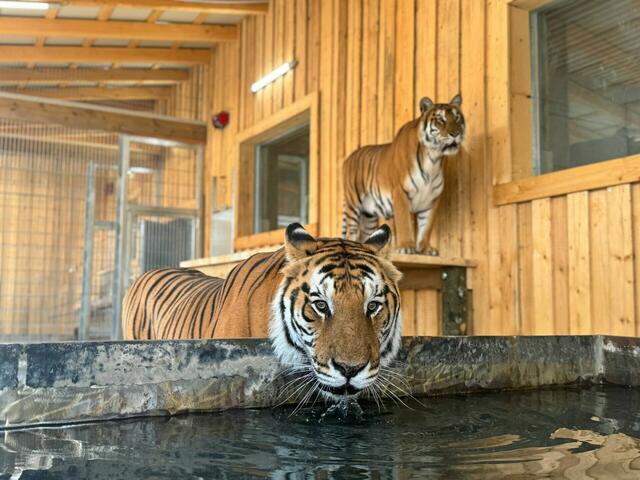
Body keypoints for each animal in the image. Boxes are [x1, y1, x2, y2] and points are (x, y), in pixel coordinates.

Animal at [341, 94, 465, 255]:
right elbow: (404, 223)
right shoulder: (400, 192)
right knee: (351, 232)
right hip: (353, 205)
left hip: (369, 215)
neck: (433, 158)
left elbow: (426, 227)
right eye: (440, 120)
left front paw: (425, 249)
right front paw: (406, 247)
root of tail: (347, 159)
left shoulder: (433, 198)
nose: (456, 134)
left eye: (457, 118)